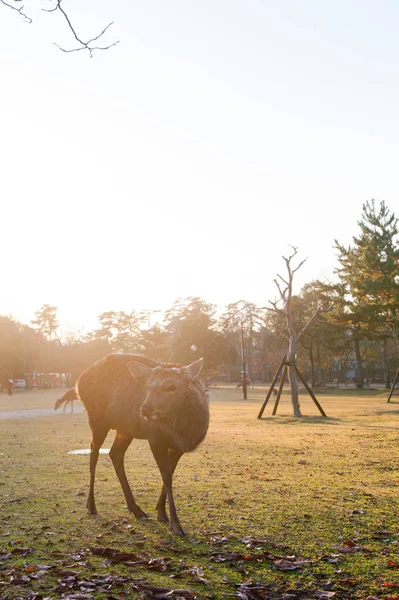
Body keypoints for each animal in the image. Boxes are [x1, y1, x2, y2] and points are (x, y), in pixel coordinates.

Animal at [56, 352, 209, 536]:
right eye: (148, 387)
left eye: (172, 386)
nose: (145, 409)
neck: (185, 433)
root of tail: (78, 383)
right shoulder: (155, 438)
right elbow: (166, 476)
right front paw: (176, 525)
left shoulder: (177, 447)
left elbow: (169, 474)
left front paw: (161, 512)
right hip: (97, 418)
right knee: (94, 452)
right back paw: (91, 506)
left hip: (125, 429)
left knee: (115, 453)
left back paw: (136, 509)